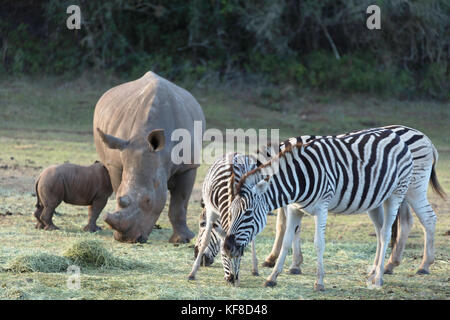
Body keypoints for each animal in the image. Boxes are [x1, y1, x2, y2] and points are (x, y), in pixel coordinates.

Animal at [93, 71, 206, 244]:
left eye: (148, 200)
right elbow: (119, 185)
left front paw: (182, 240)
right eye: (118, 198)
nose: (127, 239)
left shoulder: (189, 166)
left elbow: (180, 205)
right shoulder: (117, 161)